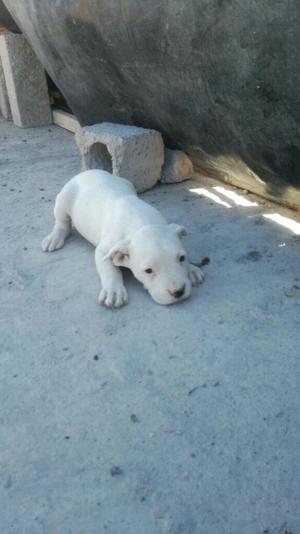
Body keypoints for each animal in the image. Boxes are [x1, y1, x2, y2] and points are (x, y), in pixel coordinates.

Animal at [41, 170, 204, 308]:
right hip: (64, 198)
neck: (142, 223)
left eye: (182, 258)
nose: (178, 292)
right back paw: (55, 237)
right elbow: (109, 269)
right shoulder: (104, 250)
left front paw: (192, 269)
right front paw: (113, 290)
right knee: (62, 222)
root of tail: (86, 172)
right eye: (148, 271)